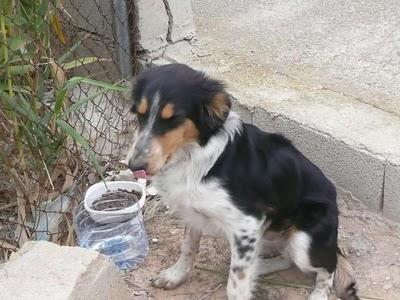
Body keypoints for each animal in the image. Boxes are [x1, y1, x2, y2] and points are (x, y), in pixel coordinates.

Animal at [126, 63, 360, 300]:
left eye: (173, 118)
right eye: (140, 115)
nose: (134, 166)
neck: (192, 155)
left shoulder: (246, 224)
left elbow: (235, 285)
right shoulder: (194, 213)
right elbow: (187, 247)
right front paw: (175, 275)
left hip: (303, 242)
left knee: (327, 267)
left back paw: (318, 293)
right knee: (286, 259)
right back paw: (260, 267)